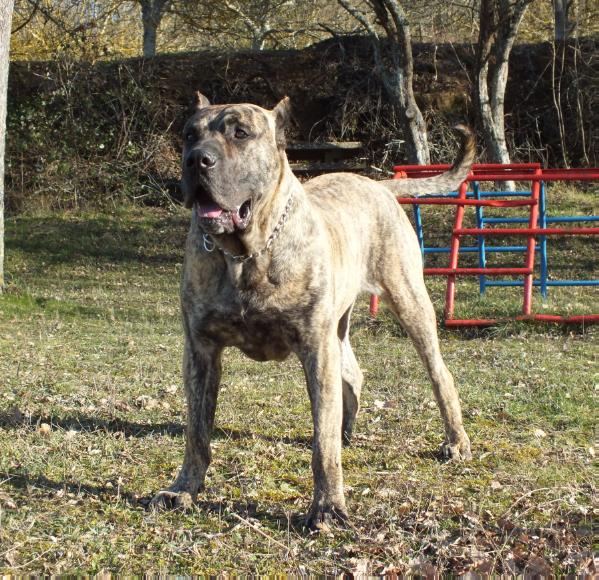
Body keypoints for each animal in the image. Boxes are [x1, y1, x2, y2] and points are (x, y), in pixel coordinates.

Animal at [152, 93, 476, 528]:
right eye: (189, 134)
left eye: (241, 133)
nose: (196, 160)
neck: (246, 254)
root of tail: (376, 184)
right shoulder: (200, 350)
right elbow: (197, 431)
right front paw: (184, 488)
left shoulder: (314, 348)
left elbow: (322, 444)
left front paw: (327, 506)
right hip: (338, 326)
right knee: (353, 374)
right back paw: (347, 430)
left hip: (409, 302)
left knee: (440, 374)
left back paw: (455, 441)